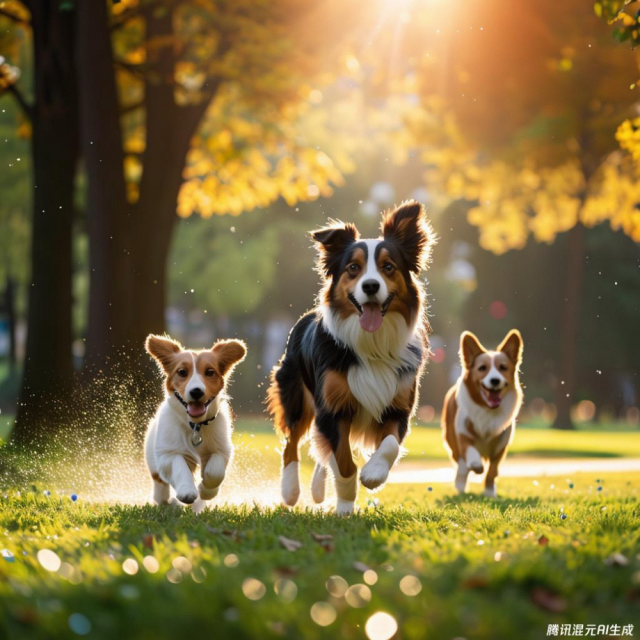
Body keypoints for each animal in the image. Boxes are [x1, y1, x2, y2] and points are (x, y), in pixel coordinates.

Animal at [145, 336, 248, 510]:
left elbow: (215, 472)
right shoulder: (167, 453)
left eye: (209, 372)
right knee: (160, 486)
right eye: (182, 372)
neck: (195, 425)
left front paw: (205, 490)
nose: (196, 391)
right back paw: (166, 501)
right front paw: (187, 491)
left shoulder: (222, 449)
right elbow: (179, 465)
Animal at [268, 201, 438, 516]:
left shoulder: (398, 406)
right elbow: (343, 462)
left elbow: (389, 445)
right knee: (292, 443)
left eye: (388, 267)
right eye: (353, 268)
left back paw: (317, 489)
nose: (370, 286)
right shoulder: (333, 409)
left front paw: (374, 474)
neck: (372, 343)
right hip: (296, 397)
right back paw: (291, 491)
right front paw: (346, 505)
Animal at [442, 328, 524, 498]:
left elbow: (492, 470)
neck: (488, 409)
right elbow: (471, 453)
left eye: (503, 367)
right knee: (461, 466)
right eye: (482, 368)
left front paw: (489, 492)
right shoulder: (463, 434)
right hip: (452, 441)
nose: (495, 380)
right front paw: (475, 465)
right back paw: (461, 485)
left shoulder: (501, 445)